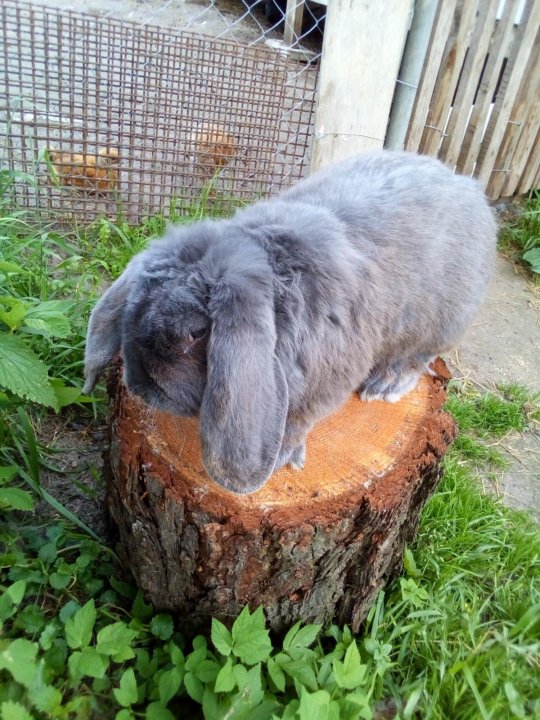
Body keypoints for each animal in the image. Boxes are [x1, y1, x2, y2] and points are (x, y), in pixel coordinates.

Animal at [84, 150, 497, 494]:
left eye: (195, 333)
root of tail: (468, 185)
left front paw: (282, 457)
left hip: (441, 322)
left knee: (418, 356)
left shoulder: (325, 383)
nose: (139, 387)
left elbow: (297, 420)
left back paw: (386, 385)